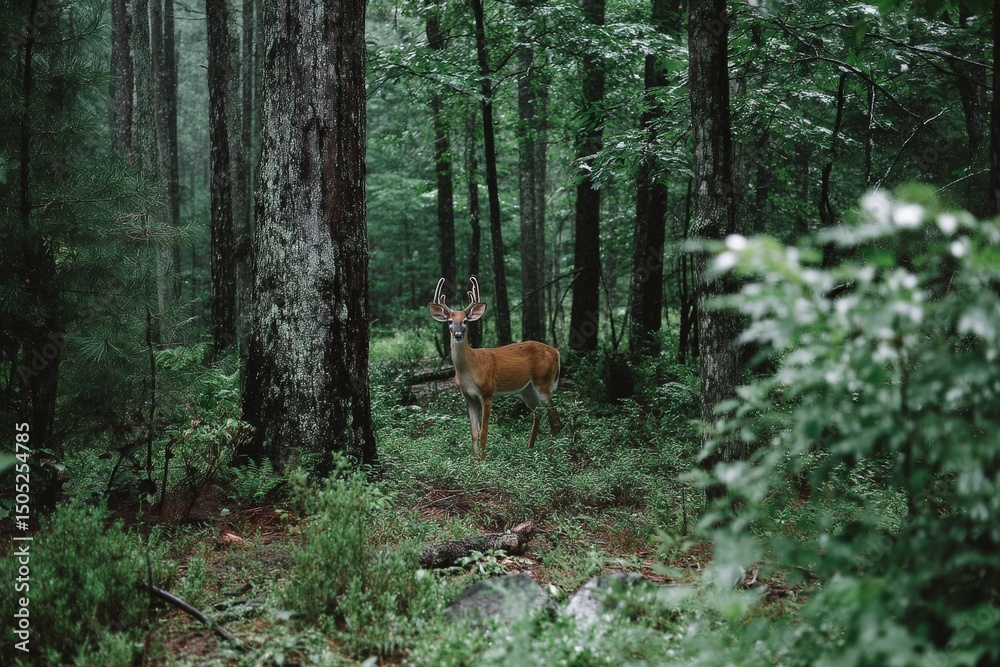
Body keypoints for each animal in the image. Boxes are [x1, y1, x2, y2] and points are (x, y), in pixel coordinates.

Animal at [429, 277, 562, 461]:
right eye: (449, 321)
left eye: (465, 321)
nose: (457, 334)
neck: (470, 367)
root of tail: (556, 351)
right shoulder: (469, 398)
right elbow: (474, 434)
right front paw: (474, 463)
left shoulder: (487, 393)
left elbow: (484, 433)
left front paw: (484, 462)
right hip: (527, 390)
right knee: (539, 412)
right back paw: (529, 450)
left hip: (543, 381)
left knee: (554, 419)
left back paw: (551, 456)